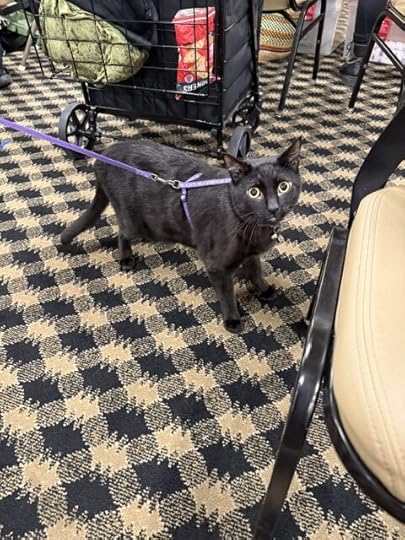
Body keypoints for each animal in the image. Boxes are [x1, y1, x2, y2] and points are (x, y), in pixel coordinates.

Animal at [61, 138, 302, 332]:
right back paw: (126, 259)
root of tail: (104, 157)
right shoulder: (217, 266)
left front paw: (264, 289)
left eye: (283, 186)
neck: (253, 227)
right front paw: (232, 320)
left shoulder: (251, 253)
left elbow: (255, 271)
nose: (273, 208)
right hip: (133, 222)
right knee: (122, 232)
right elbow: (227, 293)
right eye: (254, 192)